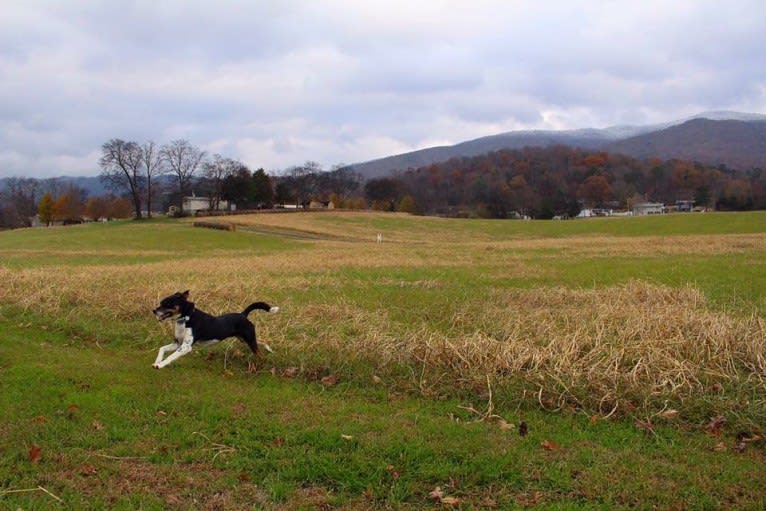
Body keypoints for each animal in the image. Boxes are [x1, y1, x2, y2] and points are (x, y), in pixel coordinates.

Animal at [152, 290, 280, 370]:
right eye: (161, 302)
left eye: (167, 303)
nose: (154, 310)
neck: (186, 318)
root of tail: (243, 314)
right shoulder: (178, 343)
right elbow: (161, 349)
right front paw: (157, 361)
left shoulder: (186, 347)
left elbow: (171, 356)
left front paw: (160, 365)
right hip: (245, 339)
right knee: (260, 343)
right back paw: (268, 349)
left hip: (249, 339)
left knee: (259, 354)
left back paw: (262, 363)